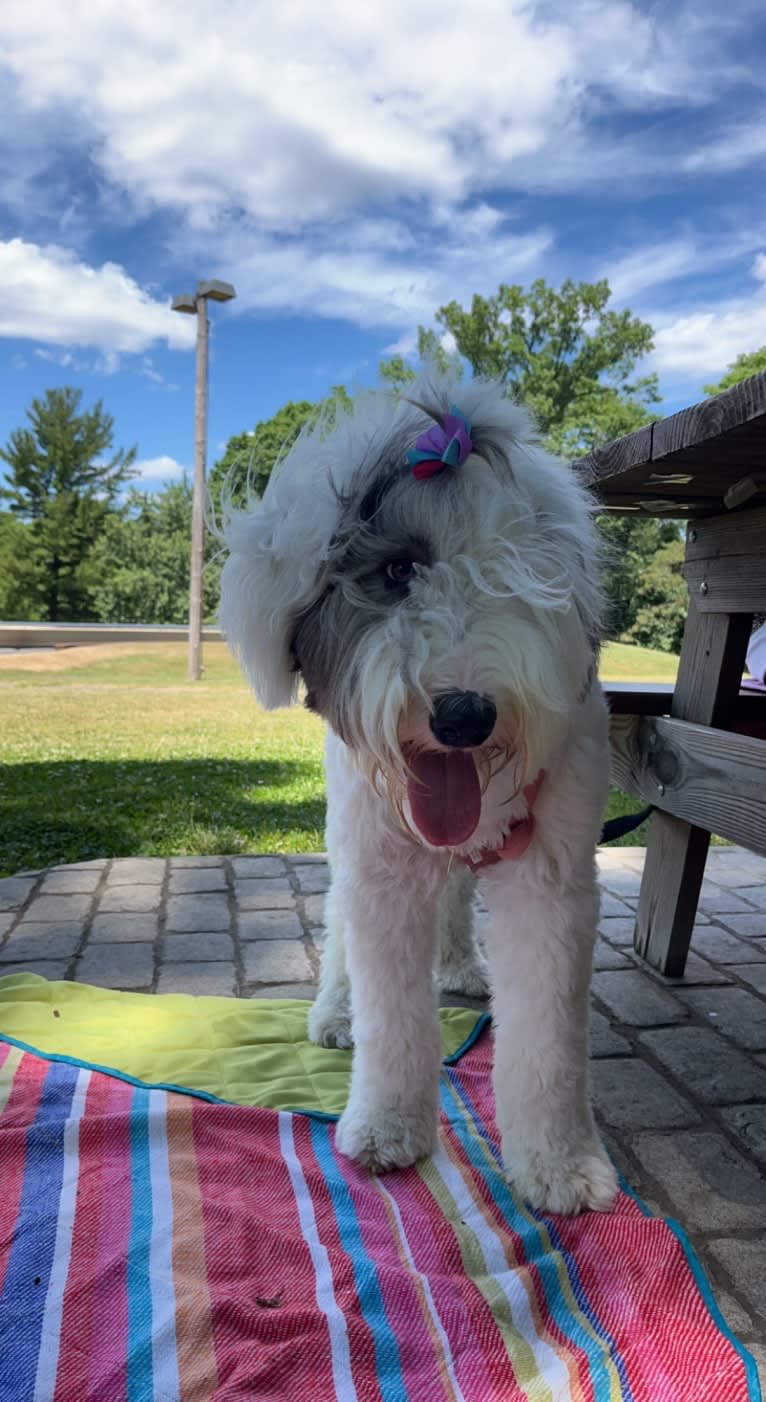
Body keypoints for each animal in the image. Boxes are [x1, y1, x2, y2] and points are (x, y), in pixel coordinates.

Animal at [217, 372, 617, 1216]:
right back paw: (336, 1010)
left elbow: (549, 1036)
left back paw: (462, 962)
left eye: (513, 568)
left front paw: (559, 1163)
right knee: (342, 934)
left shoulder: (553, 878)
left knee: (458, 901)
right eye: (399, 571)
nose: (464, 715)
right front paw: (386, 1129)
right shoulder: (381, 868)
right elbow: (391, 1012)